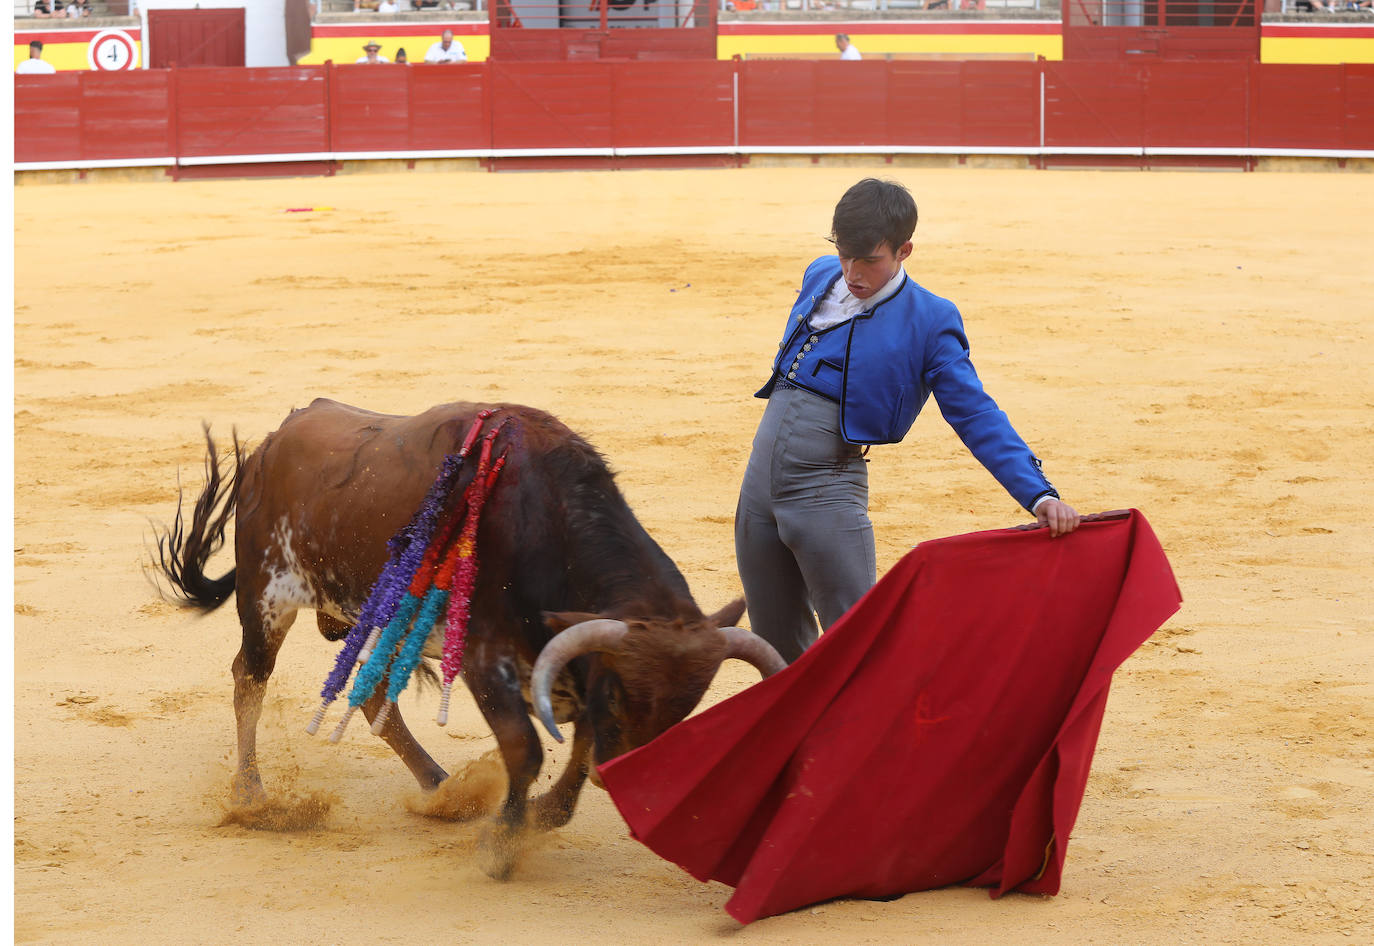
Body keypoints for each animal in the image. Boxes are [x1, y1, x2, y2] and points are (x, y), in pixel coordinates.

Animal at [153, 395, 785, 873]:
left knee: (373, 693)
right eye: (619, 695)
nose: (626, 780)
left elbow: (576, 753)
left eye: (685, 709)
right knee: (250, 680)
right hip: (267, 598)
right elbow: (526, 750)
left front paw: (539, 816)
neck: (544, 523)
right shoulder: (489, 663)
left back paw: (442, 788)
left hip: (376, 617)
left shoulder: (568, 667)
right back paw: (252, 797)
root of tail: (272, 441)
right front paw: (502, 846)